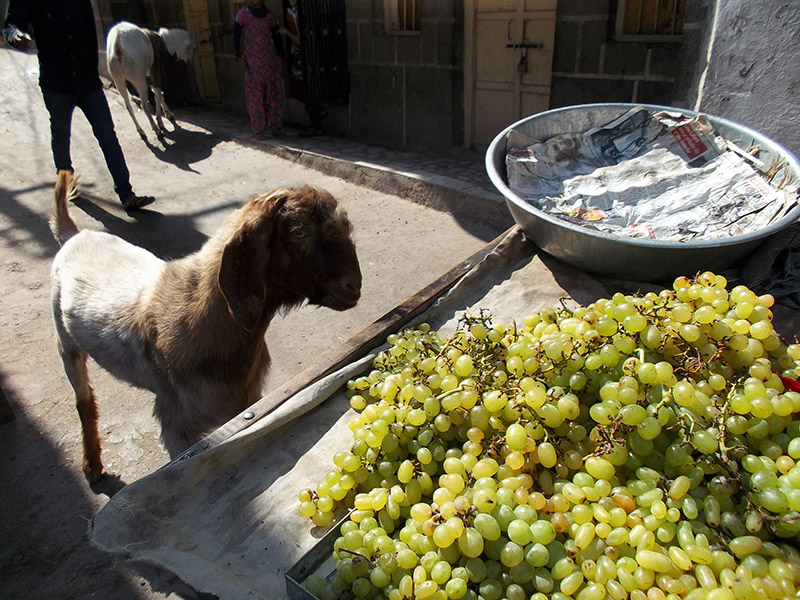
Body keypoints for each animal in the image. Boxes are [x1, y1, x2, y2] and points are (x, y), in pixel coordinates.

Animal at [50, 171, 362, 480]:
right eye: (298, 232)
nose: (354, 286)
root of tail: (74, 235)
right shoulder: (178, 427)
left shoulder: (248, 399)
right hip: (65, 343)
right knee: (83, 398)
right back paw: (92, 465)